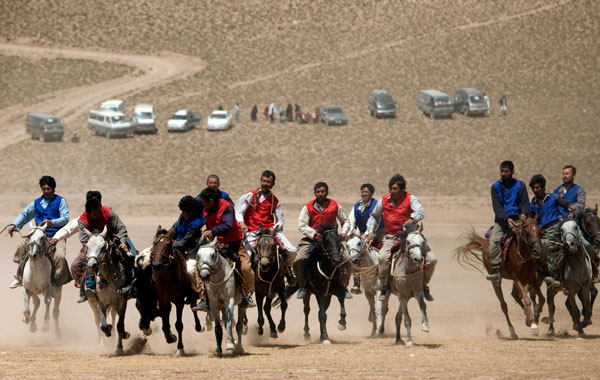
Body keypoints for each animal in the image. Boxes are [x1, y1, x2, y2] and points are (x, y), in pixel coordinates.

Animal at [149, 226, 205, 356]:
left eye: (168, 245)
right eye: (154, 244)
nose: (157, 265)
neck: (167, 278)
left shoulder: (179, 301)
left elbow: (179, 325)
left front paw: (180, 348)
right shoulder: (164, 301)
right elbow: (165, 324)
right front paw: (170, 337)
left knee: (193, 306)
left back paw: (200, 327)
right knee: (193, 306)